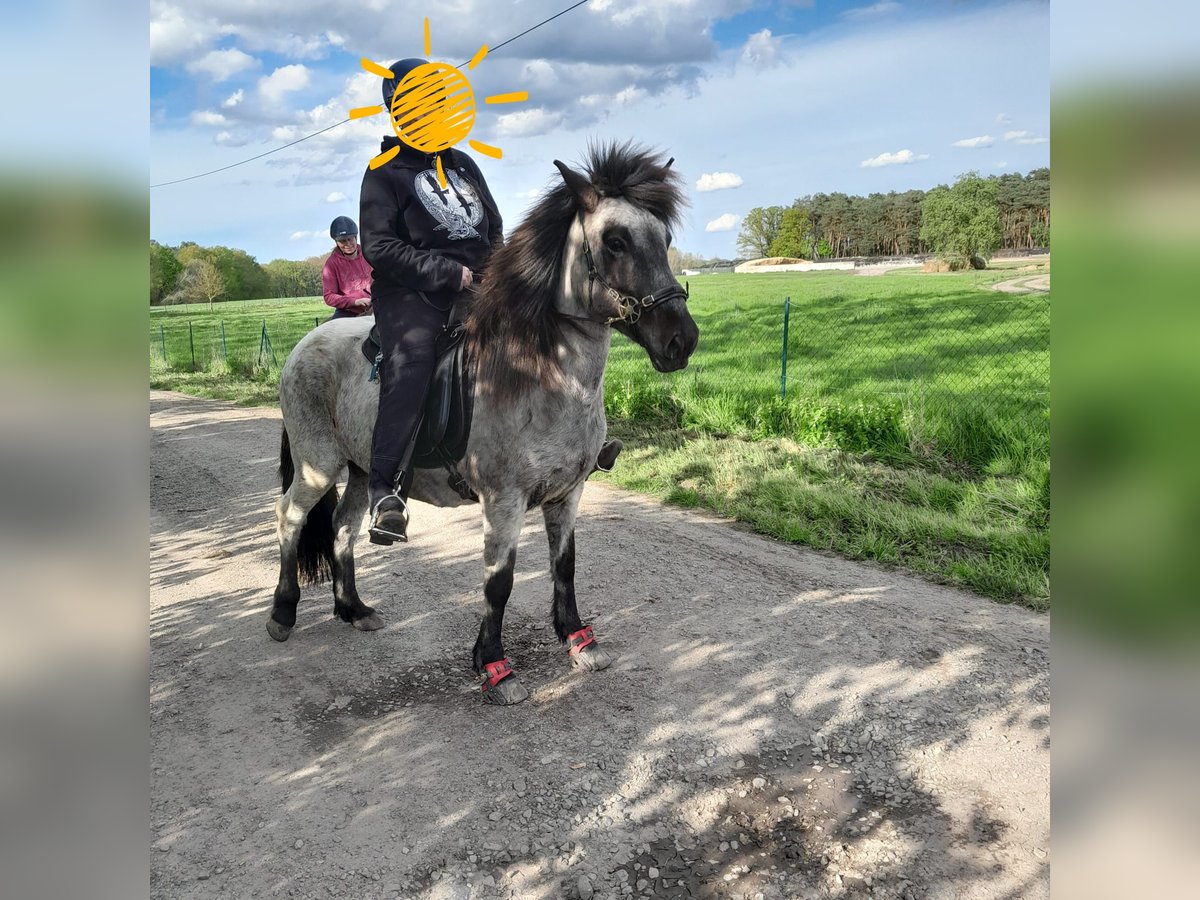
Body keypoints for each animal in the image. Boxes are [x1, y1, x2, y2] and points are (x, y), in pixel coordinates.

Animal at [267, 142, 699, 704]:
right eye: (616, 241)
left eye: (664, 239)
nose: (681, 340)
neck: (539, 371)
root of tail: (303, 346)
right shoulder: (504, 499)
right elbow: (500, 581)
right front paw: (494, 666)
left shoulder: (567, 494)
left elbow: (565, 566)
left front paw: (579, 640)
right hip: (317, 464)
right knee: (290, 519)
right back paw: (282, 613)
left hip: (361, 470)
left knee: (341, 528)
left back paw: (354, 609)